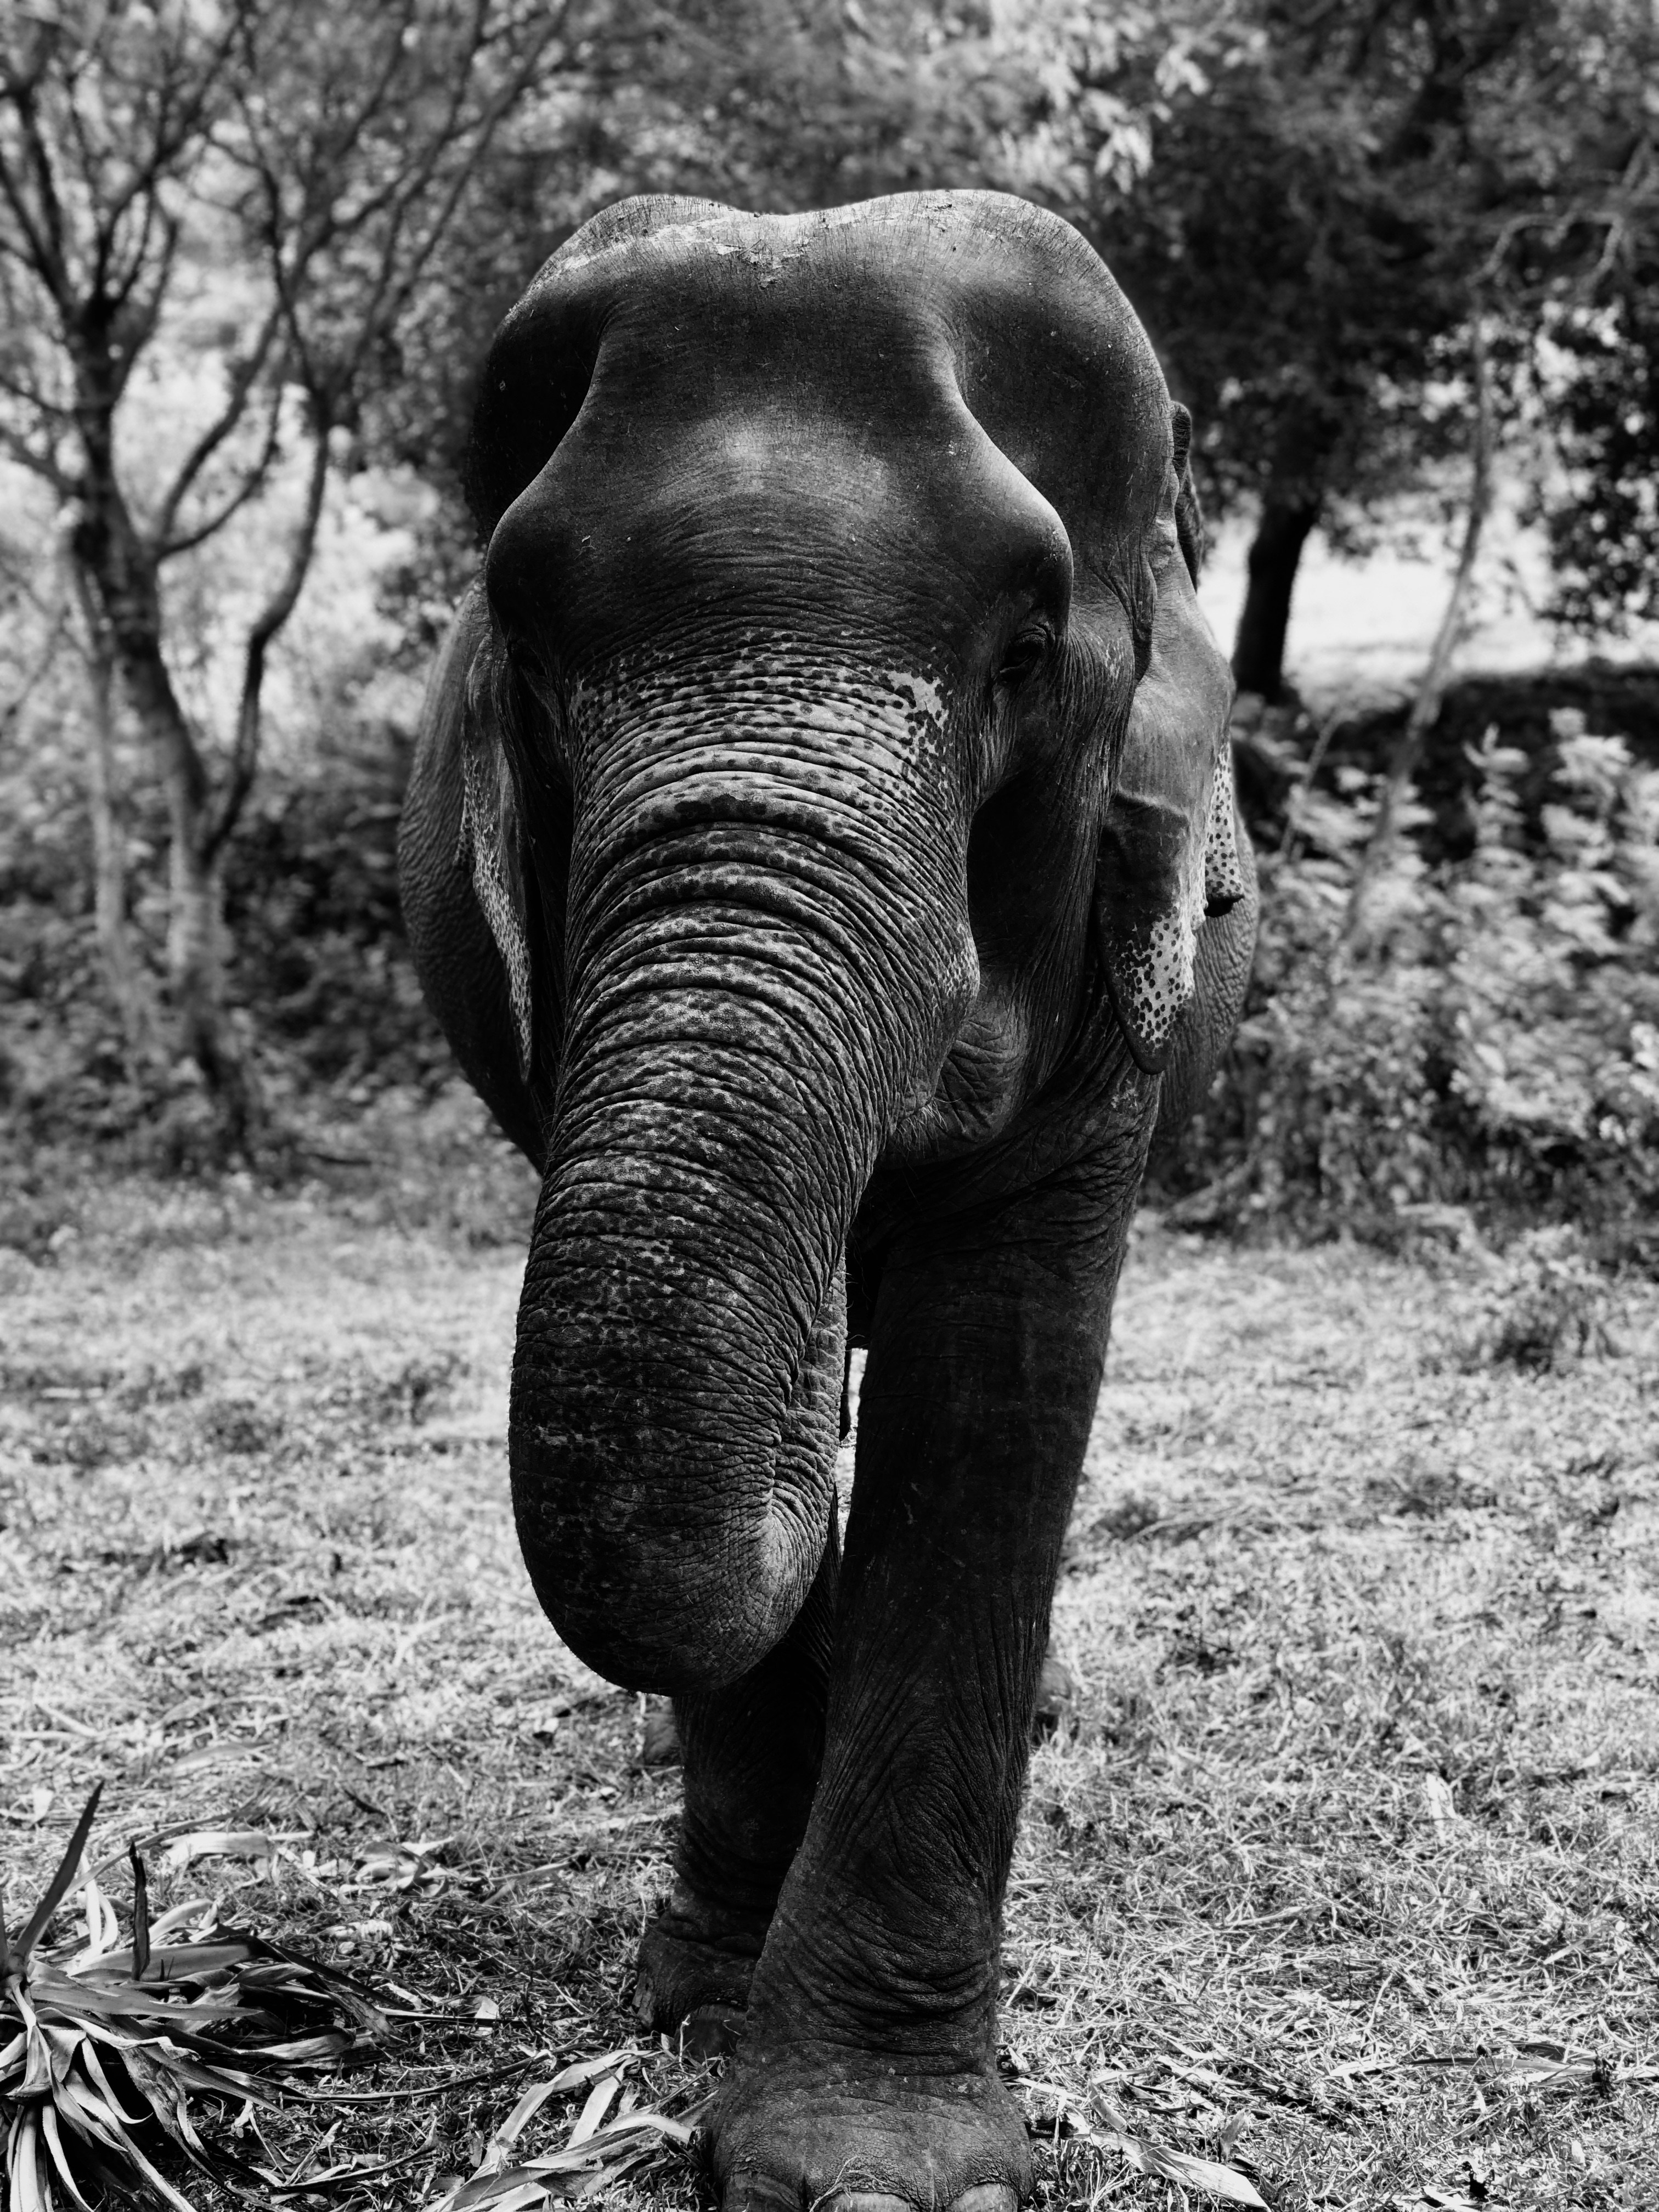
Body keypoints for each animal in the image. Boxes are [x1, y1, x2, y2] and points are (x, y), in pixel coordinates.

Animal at [398, 190, 1257, 2212]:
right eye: (524, 638)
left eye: (1024, 648)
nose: (810, 1405)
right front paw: (707, 2014)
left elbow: (995, 1386)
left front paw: (874, 2169)